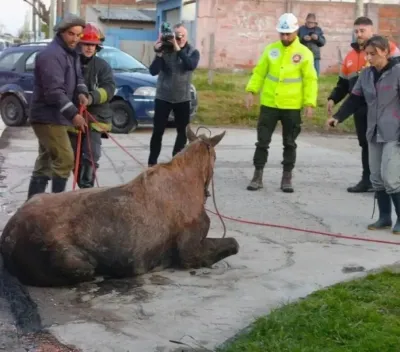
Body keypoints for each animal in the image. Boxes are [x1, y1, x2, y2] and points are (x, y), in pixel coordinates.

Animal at [0, 124, 239, 288]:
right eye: (215, 157)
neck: (194, 181)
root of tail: (6, 241)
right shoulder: (189, 252)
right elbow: (234, 244)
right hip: (78, 264)